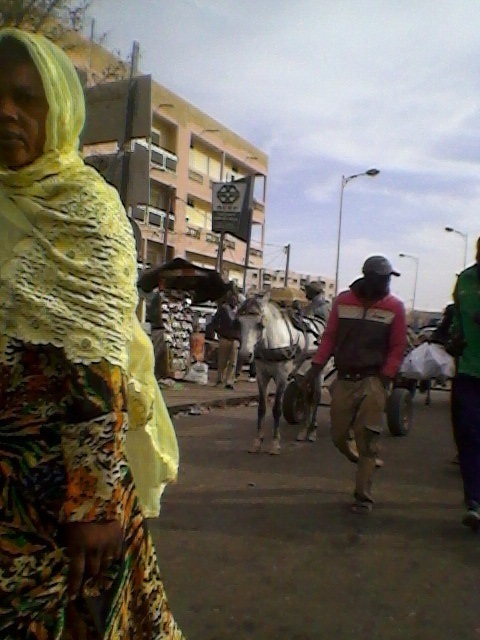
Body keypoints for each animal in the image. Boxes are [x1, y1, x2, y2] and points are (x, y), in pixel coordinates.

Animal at [237, 296, 326, 456]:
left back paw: (312, 432)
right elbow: (261, 408)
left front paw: (275, 443)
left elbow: (277, 409)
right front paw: (257, 441)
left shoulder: (282, 377)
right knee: (306, 397)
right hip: (301, 374)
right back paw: (304, 430)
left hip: (319, 371)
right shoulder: (262, 376)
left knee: (316, 397)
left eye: (260, 324)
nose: (244, 356)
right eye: (239, 322)